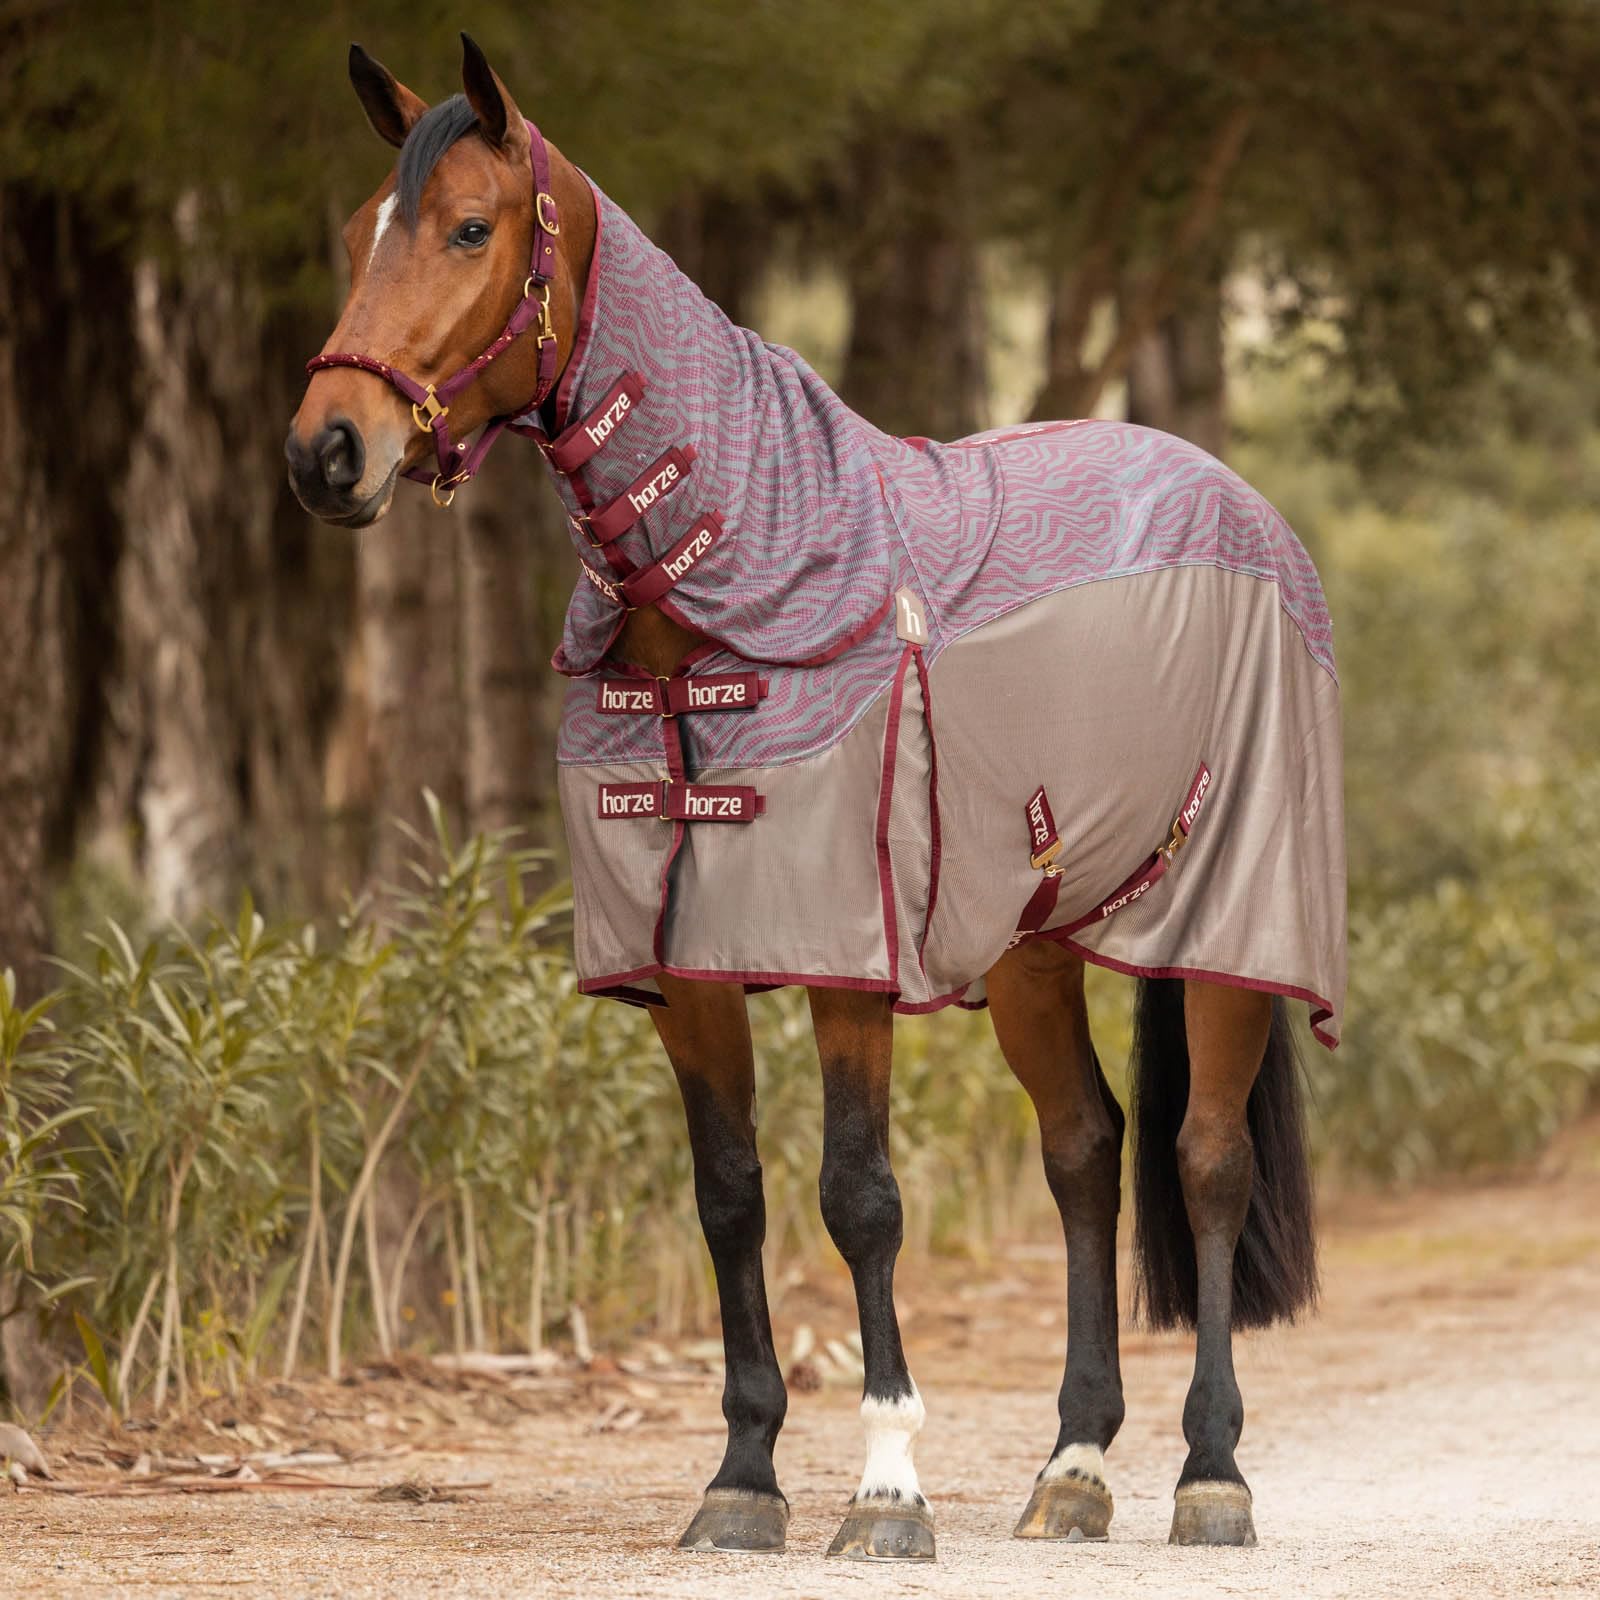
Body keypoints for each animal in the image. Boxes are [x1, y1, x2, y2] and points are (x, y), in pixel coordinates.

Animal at [288, 36, 1343, 1561]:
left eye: (470, 229)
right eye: (360, 228)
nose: (326, 453)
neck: (733, 605)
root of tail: (1238, 503)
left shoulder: (851, 966)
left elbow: (860, 1198)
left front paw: (886, 1487)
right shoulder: (693, 971)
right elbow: (730, 1200)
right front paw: (740, 1479)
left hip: (1228, 933)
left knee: (1205, 1161)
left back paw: (1211, 1475)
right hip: (1030, 949)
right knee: (1085, 1152)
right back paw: (1073, 1468)